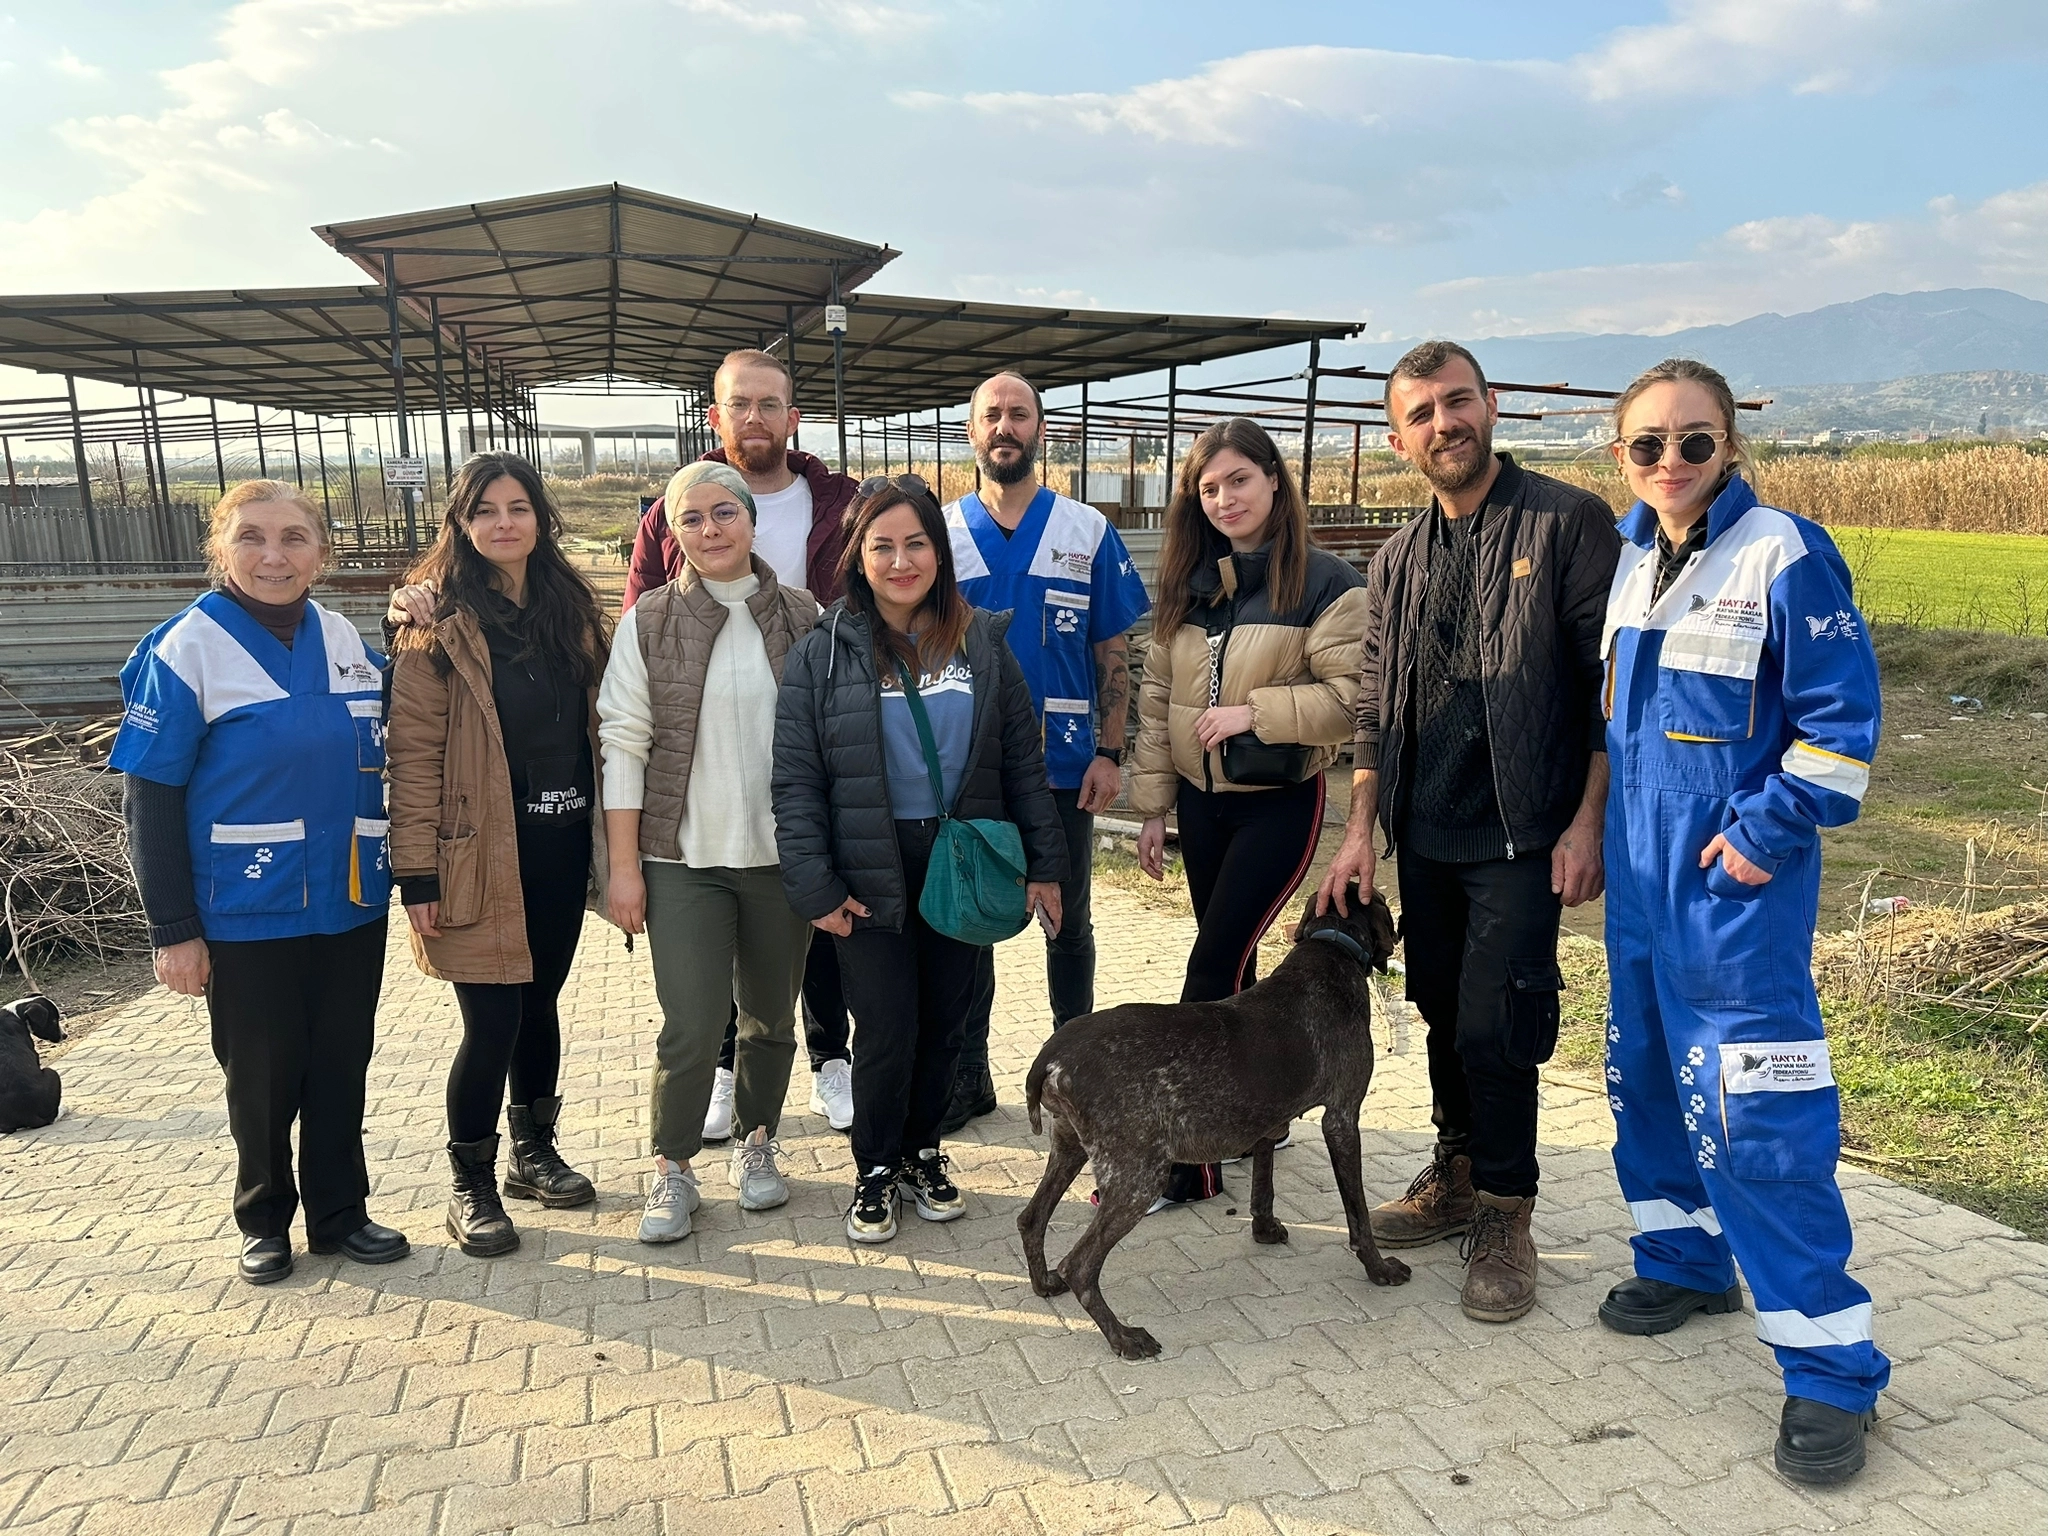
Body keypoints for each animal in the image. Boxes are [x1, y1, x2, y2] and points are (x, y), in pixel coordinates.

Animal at [1019, 888, 1409, 1359]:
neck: (1330, 943)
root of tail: (1052, 1056)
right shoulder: (1342, 1120)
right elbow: (1359, 1216)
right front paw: (1379, 1268)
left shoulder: (1269, 1122)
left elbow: (1264, 1186)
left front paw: (1264, 1230)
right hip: (1138, 1177)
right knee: (1079, 1265)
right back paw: (1123, 1336)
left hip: (1070, 1146)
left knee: (1031, 1219)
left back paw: (1044, 1283)